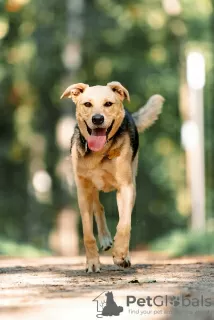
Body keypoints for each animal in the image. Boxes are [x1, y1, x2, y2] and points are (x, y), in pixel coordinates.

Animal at [60, 81, 164, 272]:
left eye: (108, 103)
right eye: (87, 104)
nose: (97, 119)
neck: (100, 152)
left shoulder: (126, 187)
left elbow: (124, 224)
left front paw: (120, 254)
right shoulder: (83, 190)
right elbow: (87, 232)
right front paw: (92, 262)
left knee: (121, 214)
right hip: (91, 188)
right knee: (98, 207)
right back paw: (106, 239)